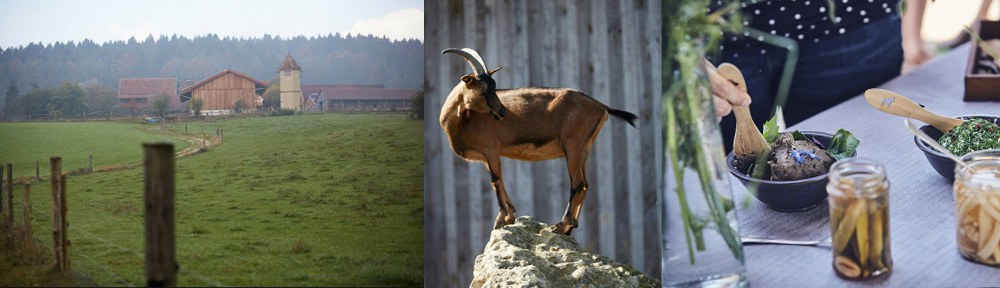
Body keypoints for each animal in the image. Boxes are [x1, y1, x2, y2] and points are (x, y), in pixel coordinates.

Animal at [438, 48, 632, 235]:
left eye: (492, 87)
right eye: (481, 88)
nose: (502, 112)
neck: (464, 121)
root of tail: (601, 106)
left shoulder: (490, 148)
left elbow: (495, 180)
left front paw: (501, 220)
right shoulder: (487, 156)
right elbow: (499, 179)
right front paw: (511, 215)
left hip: (573, 146)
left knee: (577, 184)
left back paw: (561, 225)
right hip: (584, 149)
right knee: (584, 185)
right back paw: (569, 228)